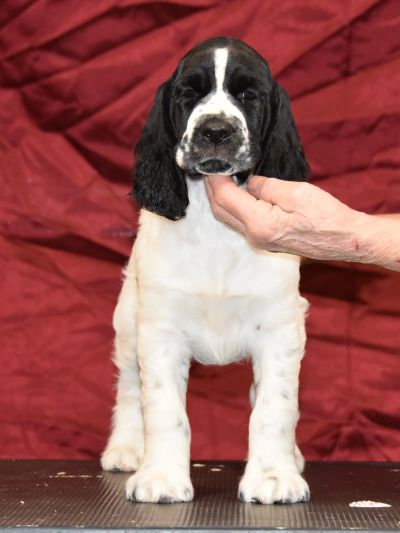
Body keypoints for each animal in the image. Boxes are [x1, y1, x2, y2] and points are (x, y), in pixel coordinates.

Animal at [101, 36, 310, 504]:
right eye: (188, 95)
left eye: (248, 95)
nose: (216, 131)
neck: (217, 227)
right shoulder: (159, 331)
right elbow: (163, 409)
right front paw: (161, 476)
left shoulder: (279, 329)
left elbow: (274, 407)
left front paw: (273, 475)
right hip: (128, 323)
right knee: (129, 386)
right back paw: (127, 449)